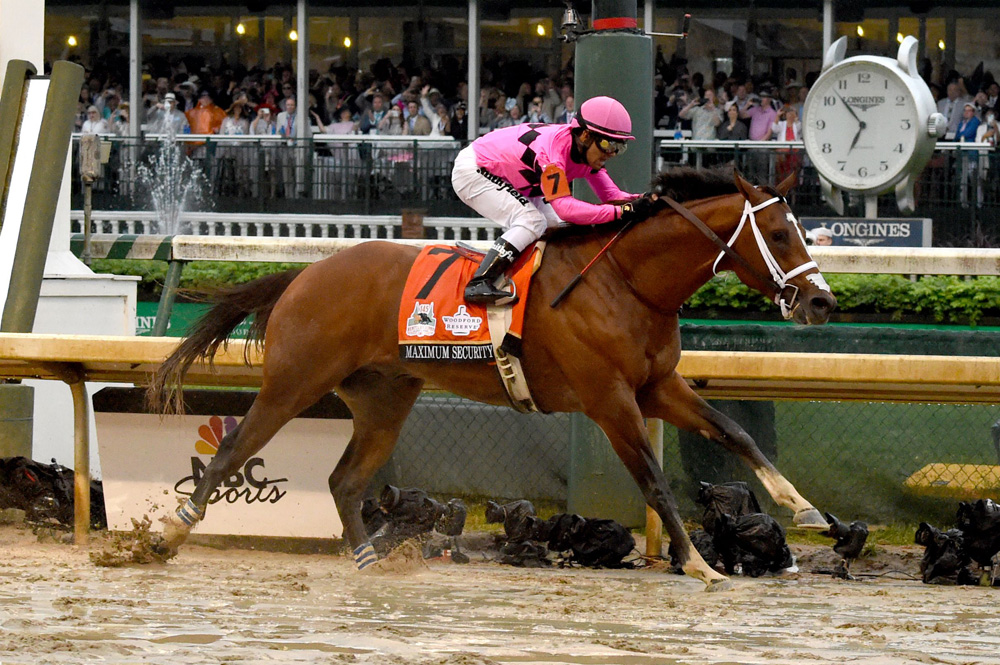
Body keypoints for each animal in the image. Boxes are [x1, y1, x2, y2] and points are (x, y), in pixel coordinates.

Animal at [148, 169, 836, 588]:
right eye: (781, 233)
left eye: (802, 230)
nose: (822, 302)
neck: (628, 284)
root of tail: (305, 274)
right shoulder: (610, 399)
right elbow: (654, 479)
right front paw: (698, 563)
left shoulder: (656, 387)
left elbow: (734, 434)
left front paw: (805, 509)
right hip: (294, 382)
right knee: (233, 450)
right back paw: (168, 536)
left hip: (385, 397)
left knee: (344, 479)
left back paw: (370, 559)